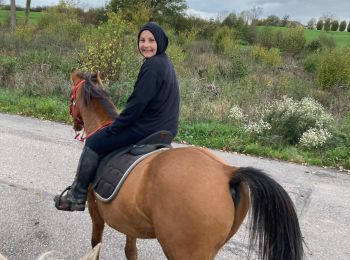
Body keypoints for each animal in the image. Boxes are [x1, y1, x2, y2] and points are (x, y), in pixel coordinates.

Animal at [69, 72, 304, 260]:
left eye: (71, 97)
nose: (76, 124)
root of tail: (228, 173)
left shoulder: (95, 211)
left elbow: (96, 244)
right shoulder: (129, 221)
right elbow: (131, 251)